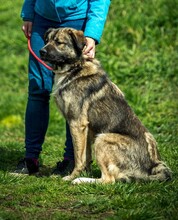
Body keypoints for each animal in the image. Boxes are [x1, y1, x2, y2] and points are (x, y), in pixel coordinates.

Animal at [39, 26, 172, 183]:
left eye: (59, 42)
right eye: (46, 41)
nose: (41, 51)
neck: (74, 68)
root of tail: (152, 166)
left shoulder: (77, 123)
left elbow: (79, 157)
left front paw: (73, 176)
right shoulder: (86, 128)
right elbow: (86, 156)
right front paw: (85, 172)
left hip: (102, 139)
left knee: (108, 180)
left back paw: (80, 181)